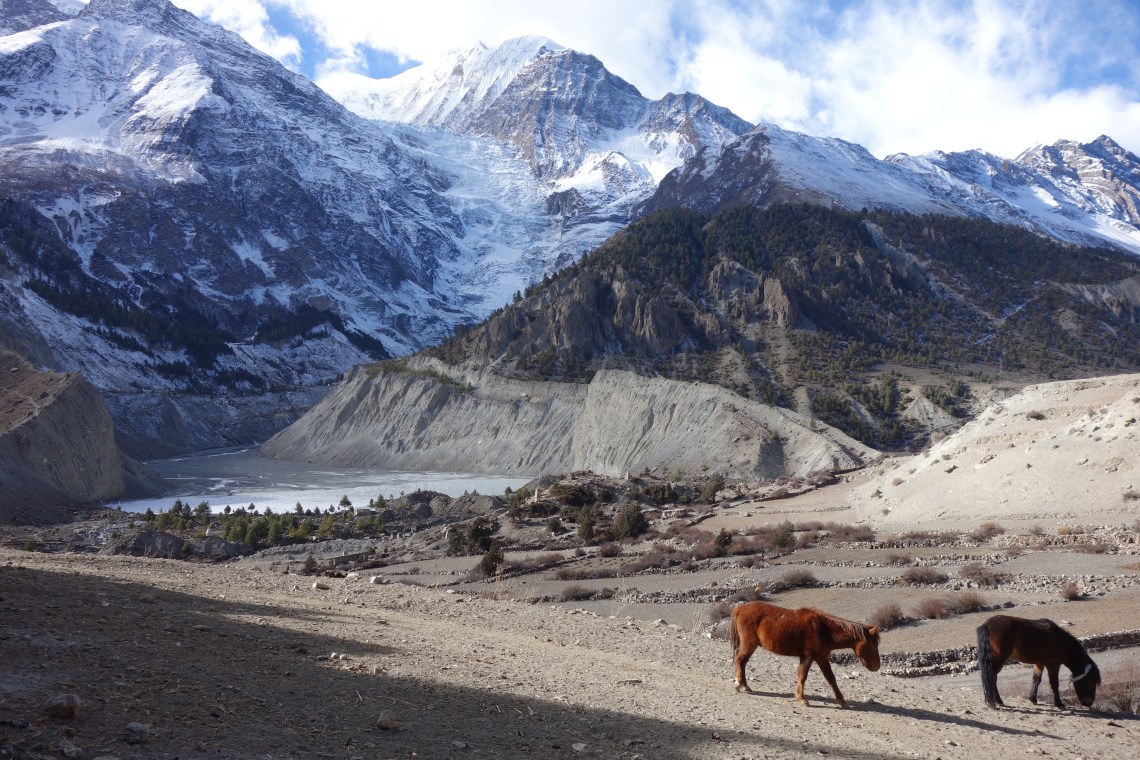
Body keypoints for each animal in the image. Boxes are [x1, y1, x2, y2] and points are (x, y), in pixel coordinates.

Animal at [730, 600, 881, 708]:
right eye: (874, 645)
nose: (877, 666)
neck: (823, 629)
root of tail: (739, 608)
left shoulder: (822, 658)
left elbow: (831, 678)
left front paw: (842, 701)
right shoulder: (808, 657)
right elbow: (802, 676)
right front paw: (802, 699)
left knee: (743, 662)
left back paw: (745, 685)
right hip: (749, 644)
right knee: (739, 660)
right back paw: (739, 684)